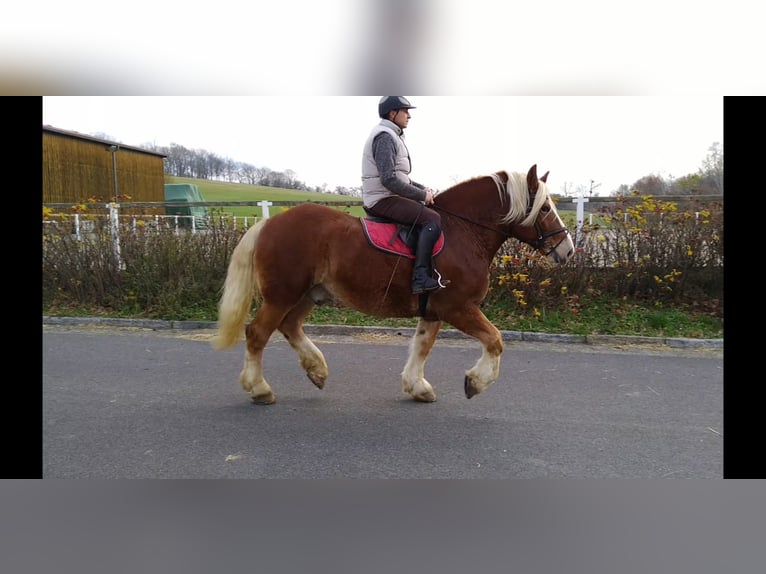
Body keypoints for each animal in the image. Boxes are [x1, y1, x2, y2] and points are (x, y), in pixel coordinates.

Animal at [213, 163, 572, 404]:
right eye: (544, 208)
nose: (567, 249)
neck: (462, 231)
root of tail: (269, 223)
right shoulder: (458, 308)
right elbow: (495, 340)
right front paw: (475, 382)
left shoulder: (434, 311)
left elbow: (422, 346)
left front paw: (418, 387)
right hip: (283, 295)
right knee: (257, 333)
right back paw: (260, 389)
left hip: (306, 295)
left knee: (289, 327)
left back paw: (317, 371)